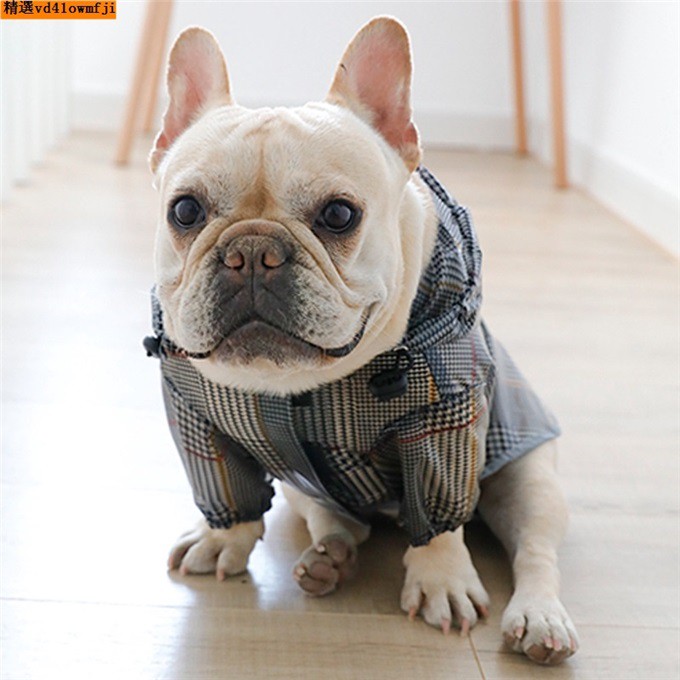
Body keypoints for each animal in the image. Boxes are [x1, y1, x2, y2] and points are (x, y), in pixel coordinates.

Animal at [150, 18, 580, 668]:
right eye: (184, 210)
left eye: (338, 215)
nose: (251, 251)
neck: (298, 385)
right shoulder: (195, 414)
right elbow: (225, 483)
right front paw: (223, 538)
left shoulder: (443, 420)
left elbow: (440, 510)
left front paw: (440, 579)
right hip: (305, 491)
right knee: (336, 517)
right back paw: (330, 559)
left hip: (531, 478)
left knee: (535, 549)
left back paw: (539, 619)